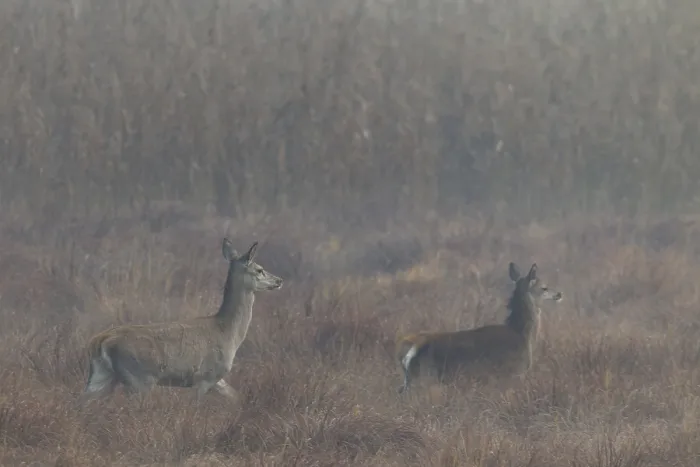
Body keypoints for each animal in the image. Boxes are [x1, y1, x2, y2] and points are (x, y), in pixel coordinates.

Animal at [81, 239, 282, 402]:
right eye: (260, 270)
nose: (279, 280)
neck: (228, 332)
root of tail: (99, 341)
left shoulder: (217, 380)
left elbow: (235, 396)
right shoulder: (205, 377)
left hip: (100, 376)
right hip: (138, 378)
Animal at [395, 262, 562, 393]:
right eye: (544, 287)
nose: (559, 294)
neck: (522, 334)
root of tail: (410, 352)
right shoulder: (512, 373)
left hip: (412, 379)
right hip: (426, 378)